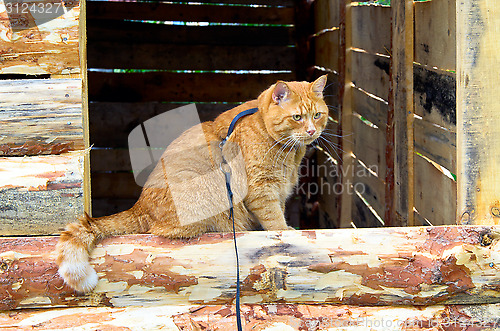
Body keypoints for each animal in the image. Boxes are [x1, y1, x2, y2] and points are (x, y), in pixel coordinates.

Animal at [55, 76, 328, 294]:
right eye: (297, 117)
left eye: (317, 115)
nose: (312, 131)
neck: (287, 151)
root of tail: (139, 206)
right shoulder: (261, 188)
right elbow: (274, 219)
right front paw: (285, 233)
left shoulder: (279, 188)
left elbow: (278, 211)